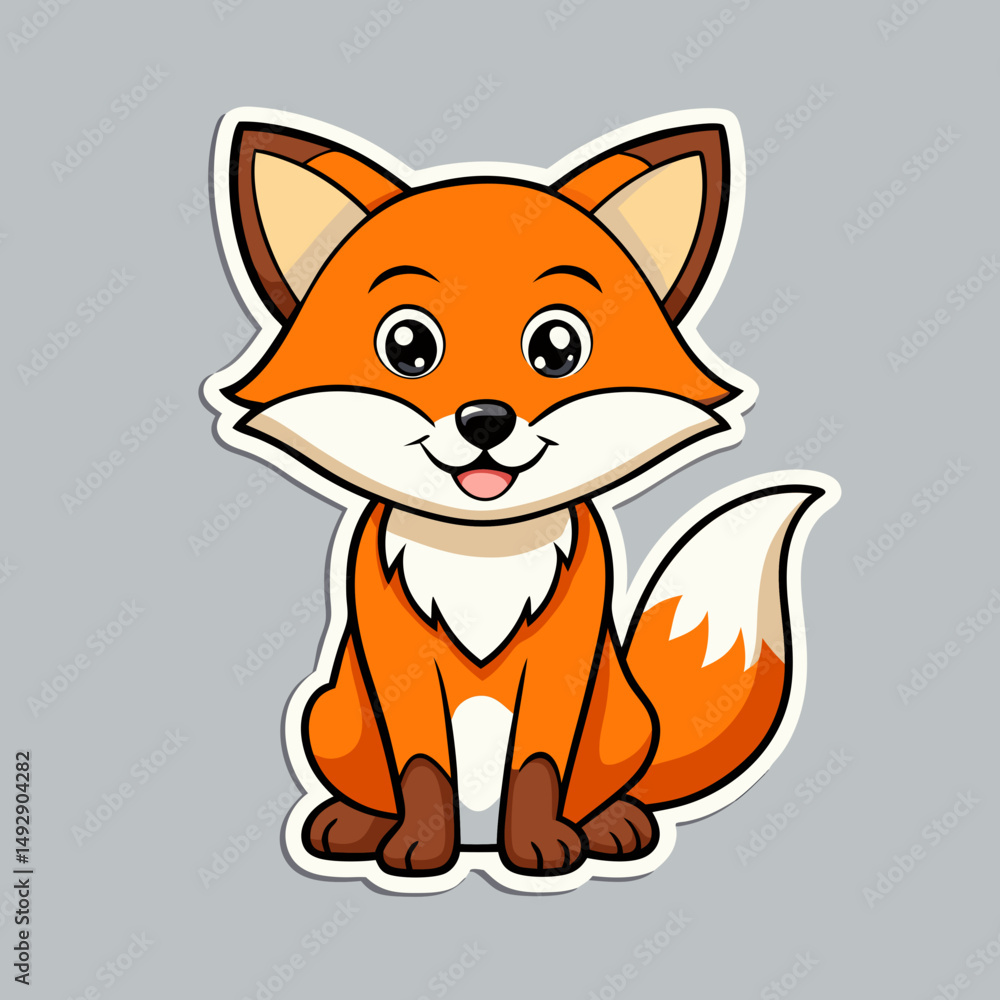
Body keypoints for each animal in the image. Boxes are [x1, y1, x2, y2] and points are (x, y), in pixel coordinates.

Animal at [203, 108, 838, 892]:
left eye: (557, 346)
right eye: (407, 346)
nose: (486, 421)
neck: (482, 555)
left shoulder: (562, 663)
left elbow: (538, 766)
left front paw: (539, 846)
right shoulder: (399, 666)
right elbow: (424, 769)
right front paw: (421, 848)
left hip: (626, 722)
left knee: (599, 789)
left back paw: (610, 825)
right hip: (329, 717)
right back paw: (354, 826)